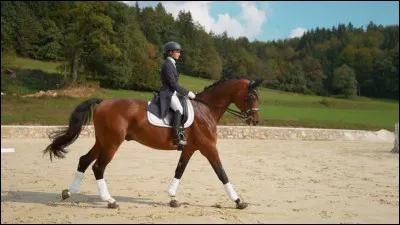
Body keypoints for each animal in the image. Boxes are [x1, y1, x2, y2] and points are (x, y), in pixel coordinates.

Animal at [43, 76, 262, 209]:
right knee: (98, 166)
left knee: (84, 160)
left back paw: (69, 192)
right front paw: (238, 201)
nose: (255, 121)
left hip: (103, 141)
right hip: (112, 142)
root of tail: (103, 102)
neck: (205, 109)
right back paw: (110, 201)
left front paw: (173, 197)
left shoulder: (190, 148)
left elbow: (179, 170)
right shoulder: (208, 147)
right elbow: (221, 172)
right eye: (250, 96)